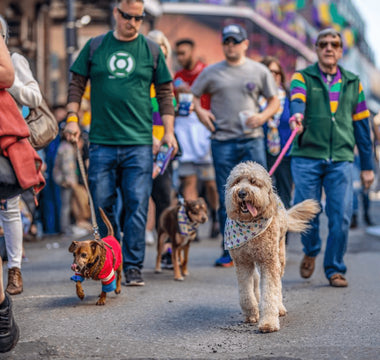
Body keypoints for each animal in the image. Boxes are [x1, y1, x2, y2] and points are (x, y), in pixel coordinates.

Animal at [224, 162, 320, 334]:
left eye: (253, 181)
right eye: (237, 181)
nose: (242, 193)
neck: (250, 223)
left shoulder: (269, 262)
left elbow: (270, 293)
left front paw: (268, 323)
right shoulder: (242, 263)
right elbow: (245, 293)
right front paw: (251, 313)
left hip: (279, 255)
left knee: (278, 286)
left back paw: (279, 308)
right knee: (256, 279)